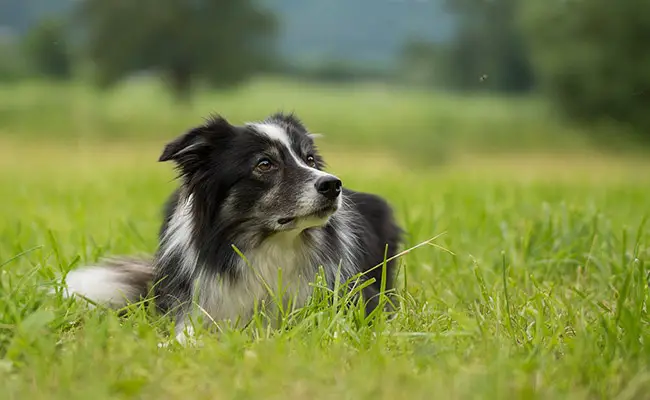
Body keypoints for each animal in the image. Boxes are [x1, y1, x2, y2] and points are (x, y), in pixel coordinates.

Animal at [62, 112, 400, 344]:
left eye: (310, 159)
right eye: (265, 164)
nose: (333, 185)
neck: (269, 245)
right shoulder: (198, 308)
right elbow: (185, 335)